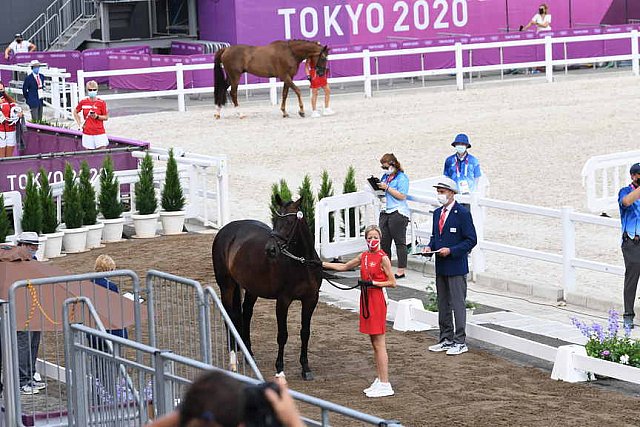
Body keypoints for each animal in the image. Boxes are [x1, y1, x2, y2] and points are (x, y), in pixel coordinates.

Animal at [212, 196, 322, 380]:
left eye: (290, 221)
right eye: (276, 220)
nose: (270, 249)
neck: (302, 263)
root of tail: (225, 230)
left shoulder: (311, 299)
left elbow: (305, 332)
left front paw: (305, 368)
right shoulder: (283, 301)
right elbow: (282, 335)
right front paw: (279, 368)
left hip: (251, 289)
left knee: (246, 313)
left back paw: (249, 355)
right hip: (227, 286)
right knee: (230, 316)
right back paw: (233, 360)